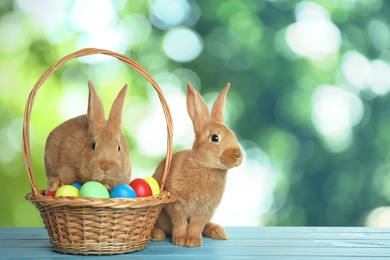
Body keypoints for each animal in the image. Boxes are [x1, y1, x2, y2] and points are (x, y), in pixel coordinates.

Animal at [151, 82, 242, 247]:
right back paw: (157, 234)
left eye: (232, 134)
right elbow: (180, 223)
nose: (238, 155)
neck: (205, 166)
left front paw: (193, 242)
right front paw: (180, 240)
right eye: (215, 138)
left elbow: (196, 225)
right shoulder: (177, 204)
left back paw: (219, 232)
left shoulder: (205, 210)